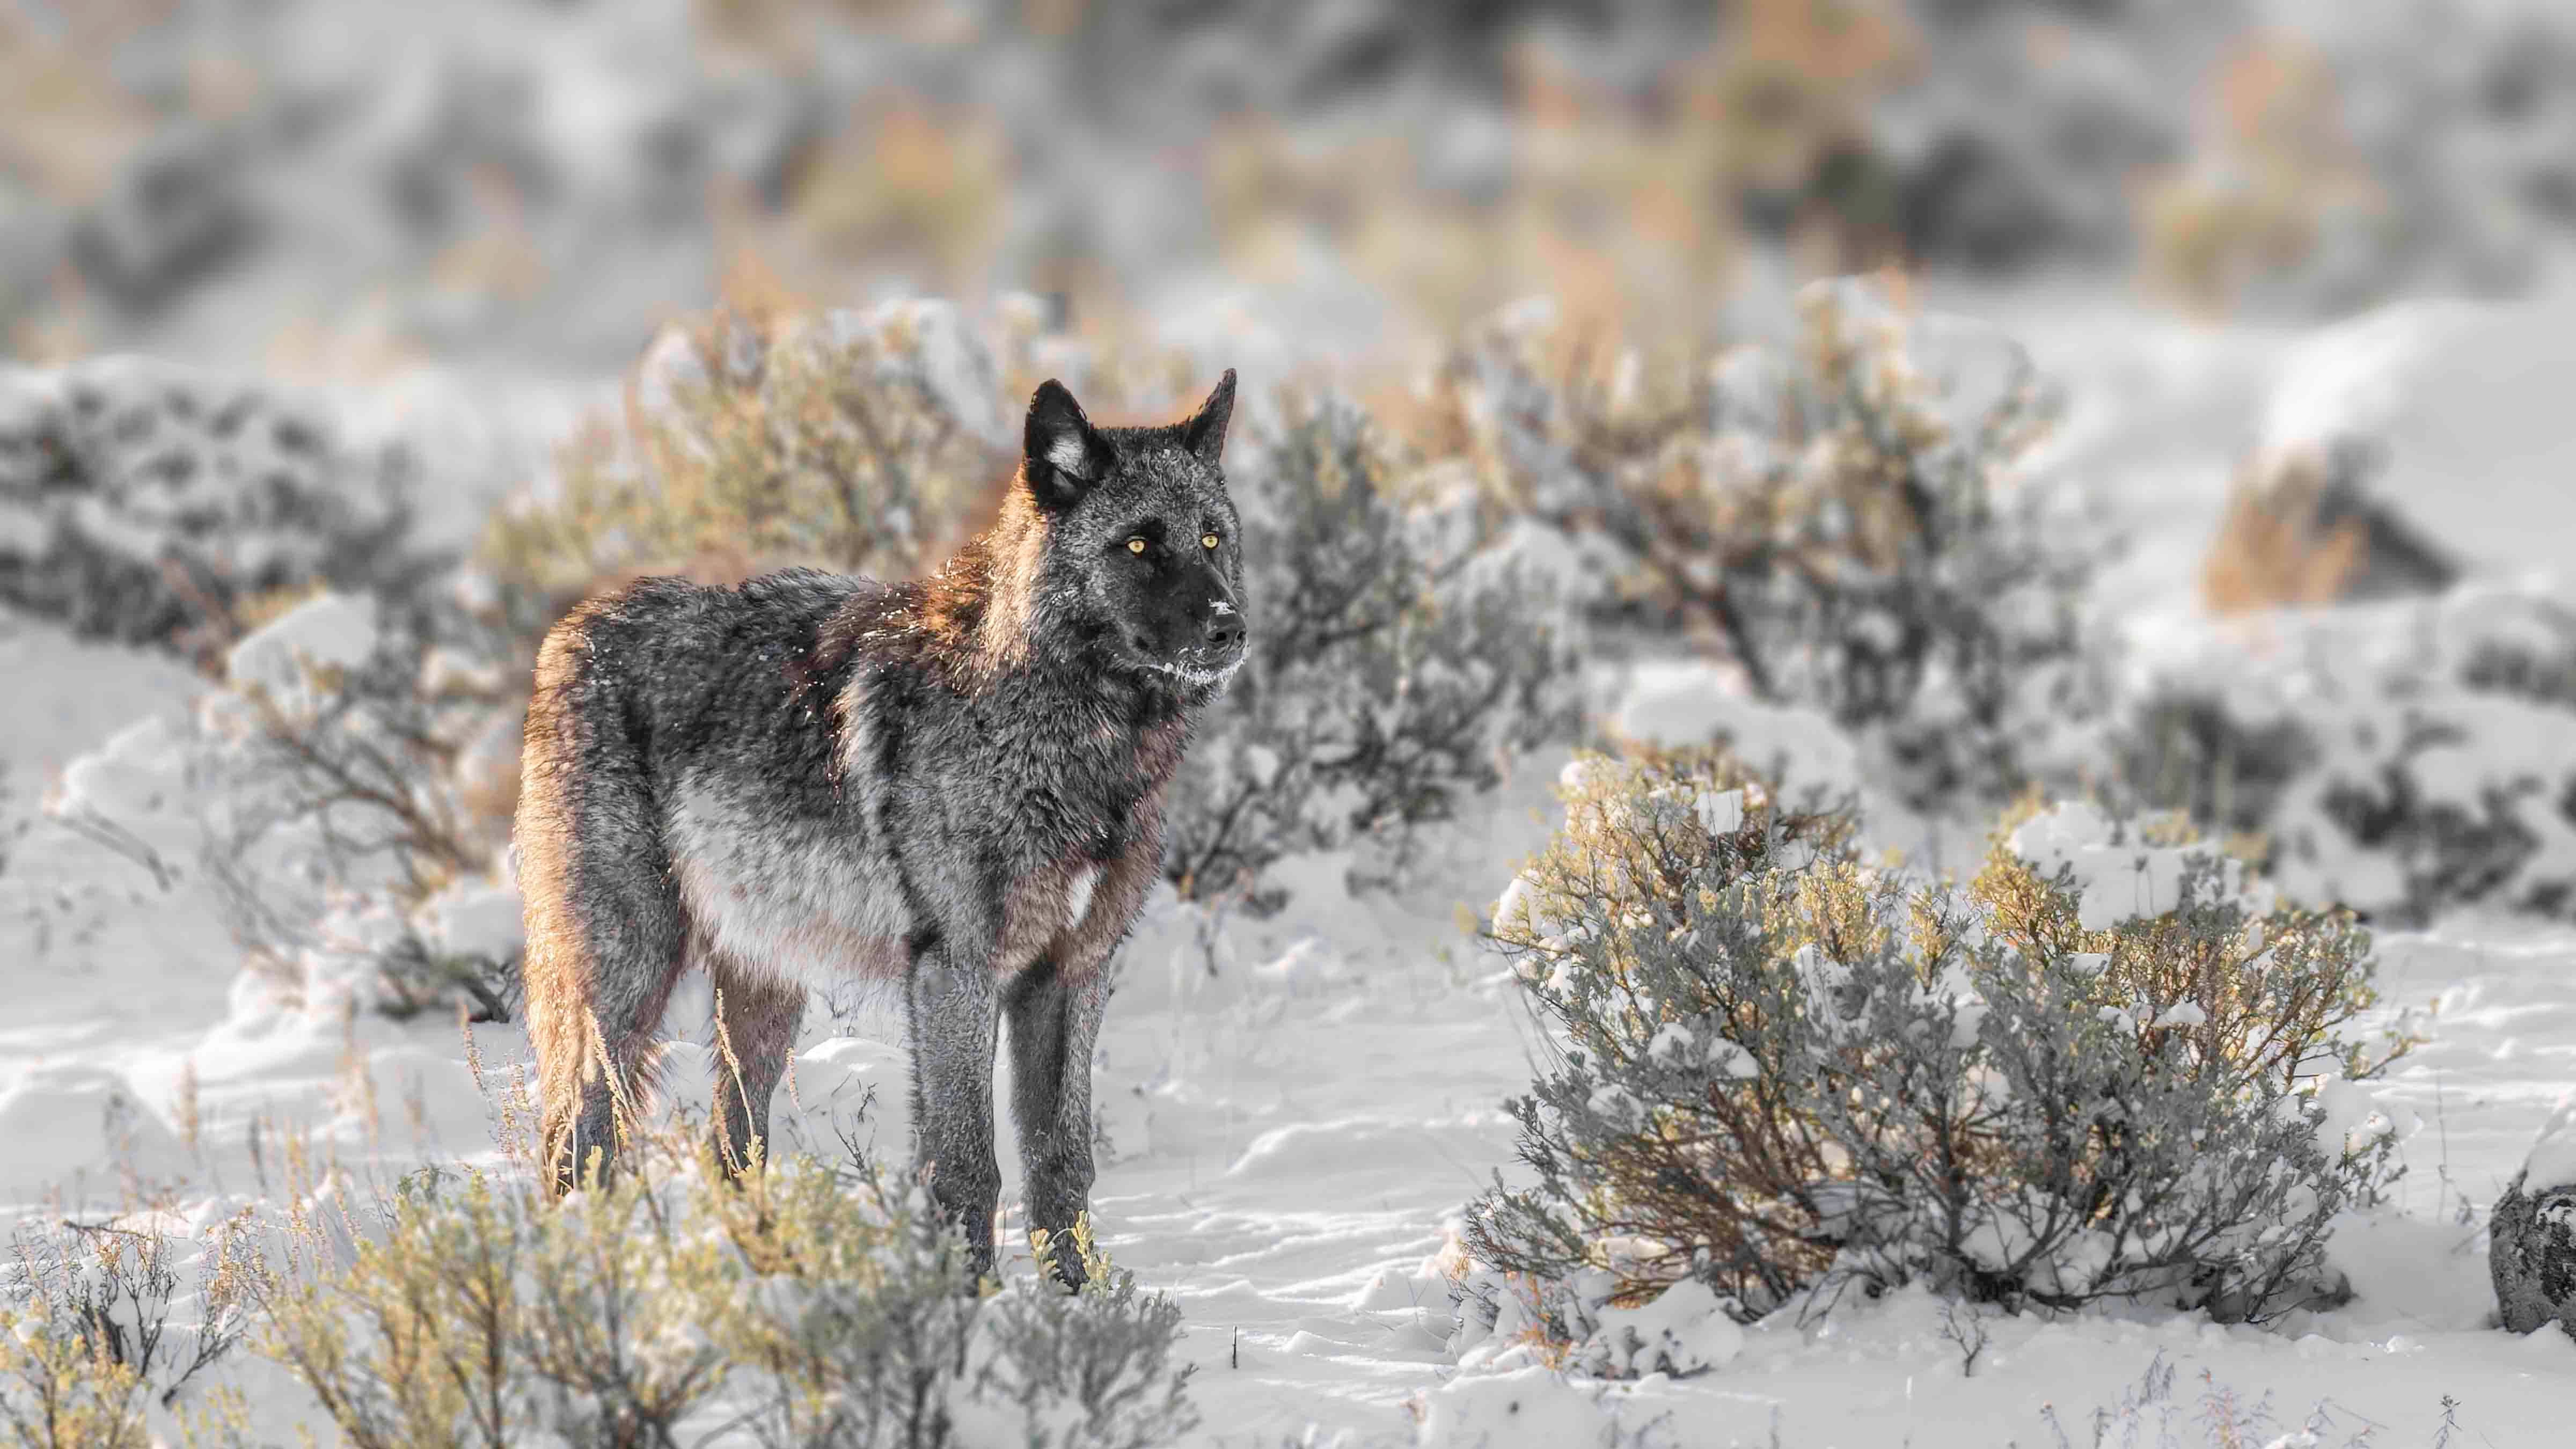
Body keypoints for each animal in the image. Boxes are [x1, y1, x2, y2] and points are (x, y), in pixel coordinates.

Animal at [515, 369, 1246, 1280]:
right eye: (1141, 547)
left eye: (1212, 539)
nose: (1230, 627)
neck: (1068, 735)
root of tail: (572, 626)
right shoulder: (956, 971)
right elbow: (967, 1165)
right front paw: (970, 1305)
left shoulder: (1072, 973)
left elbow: (1061, 1163)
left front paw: (1080, 1302)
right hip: (627, 983)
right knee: (576, 1150)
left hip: (762, 1002)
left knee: (731, 1149)